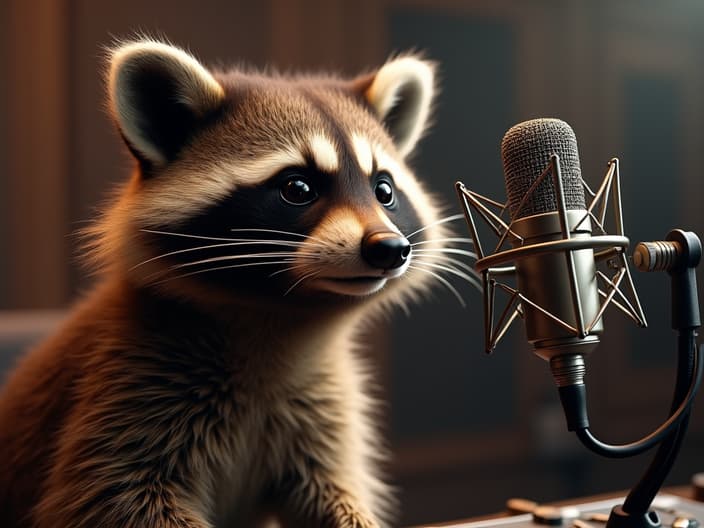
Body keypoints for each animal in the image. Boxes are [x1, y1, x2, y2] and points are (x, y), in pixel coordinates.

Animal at [0, 40, 468, 528]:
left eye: (384, 191)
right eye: (298, 188)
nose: (389, 248)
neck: (281, 314)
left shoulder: (322, 409)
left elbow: (326, 488)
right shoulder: (121, 390)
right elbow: (114, 497)